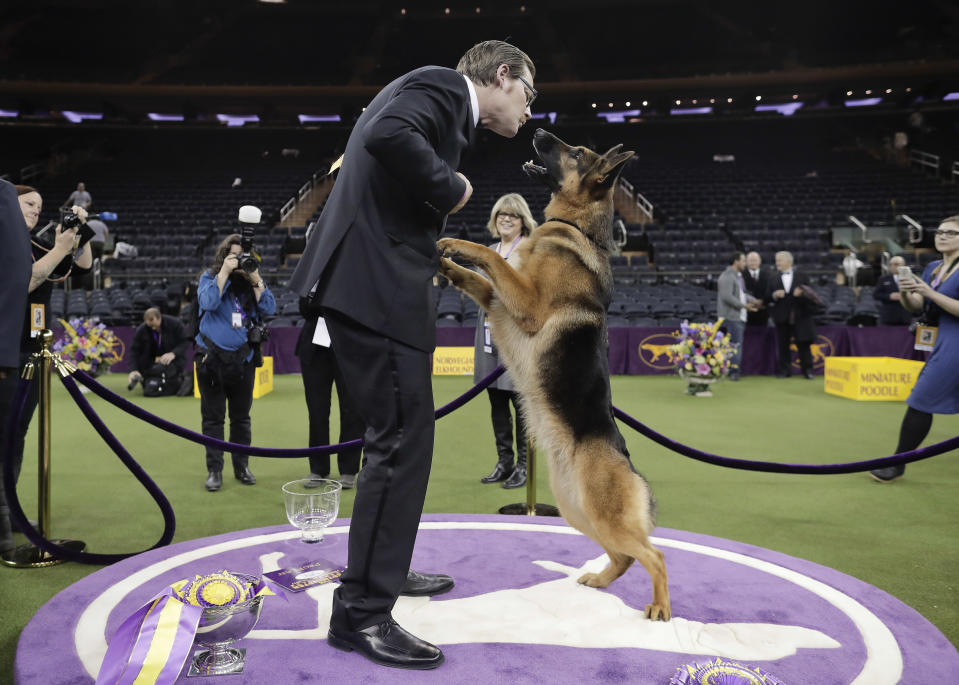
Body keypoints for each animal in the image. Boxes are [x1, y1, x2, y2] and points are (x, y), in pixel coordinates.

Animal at [438, 127, 672, 620]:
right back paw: (598, 580)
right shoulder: (496, 301)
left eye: (576, 152)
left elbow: (492, 257)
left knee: (654, 555)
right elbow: (478, 277)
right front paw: (443, 260)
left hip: (603, 516)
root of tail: (626, 462)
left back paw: (659, 609)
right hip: (577, 511)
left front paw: (458, 247)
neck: (576, 228)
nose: (538, 129)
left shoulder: (523, 301)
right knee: (624, 557)